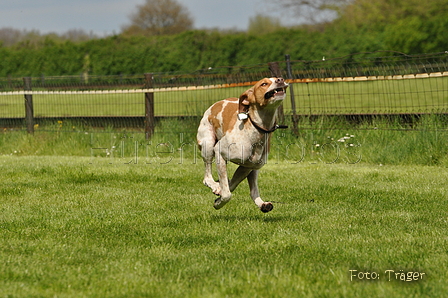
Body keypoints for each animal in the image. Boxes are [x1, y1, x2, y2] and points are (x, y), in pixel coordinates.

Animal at [197, 77, 288, 212]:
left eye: (278, 78)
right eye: (264, 84)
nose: (280, 79)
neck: (256, 129)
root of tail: (215, 104)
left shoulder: (247, 166)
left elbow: (232, 184)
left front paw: (219, 194)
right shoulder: (220, 151)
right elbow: (227, 194)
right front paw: (219, 201)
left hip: (254, 168)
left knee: (252, 190)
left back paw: (262, 204)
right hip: (207, 145)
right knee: (207, 177)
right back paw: (214, 185)